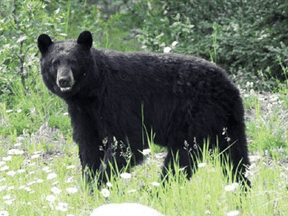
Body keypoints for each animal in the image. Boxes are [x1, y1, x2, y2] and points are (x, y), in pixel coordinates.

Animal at [37, 30, 250, 187]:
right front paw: (91, 183)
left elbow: (127, 142)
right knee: (235, 156)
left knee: (181, 158)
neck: (91, 91)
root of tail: (228, 84)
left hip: (195, 115)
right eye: (55, 63)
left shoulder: (116, 100)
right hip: (228, 121)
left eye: (73, 61)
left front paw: (101, 183)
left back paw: (158, 190)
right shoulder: (83, 113)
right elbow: (88, 144)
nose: (64, 80)